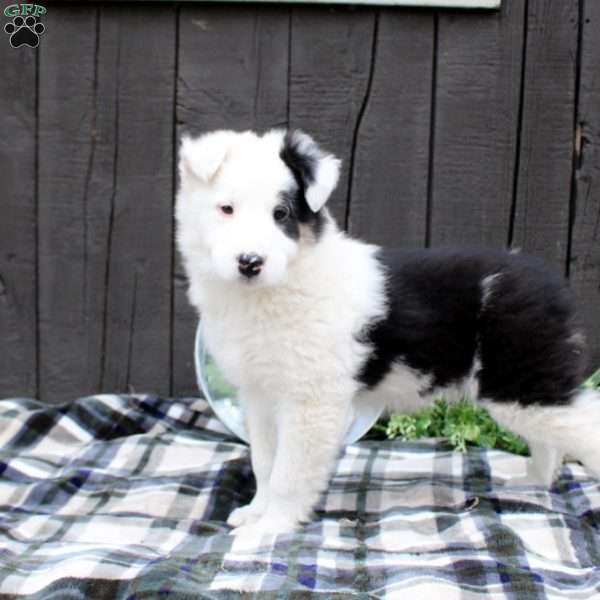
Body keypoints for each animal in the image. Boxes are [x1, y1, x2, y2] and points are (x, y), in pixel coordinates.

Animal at [176, 129, 596, 536]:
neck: (275, 287)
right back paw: (532, 483)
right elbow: (265, 463)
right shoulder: (260, 396)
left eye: (281, 214)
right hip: (527, 390)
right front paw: (254, 513)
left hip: (523, 384)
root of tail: (554, 285)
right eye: (226, 209)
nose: (250, 262)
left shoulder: (310, 403)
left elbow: (288, 474)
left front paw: (268, 529)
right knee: (549, 443)